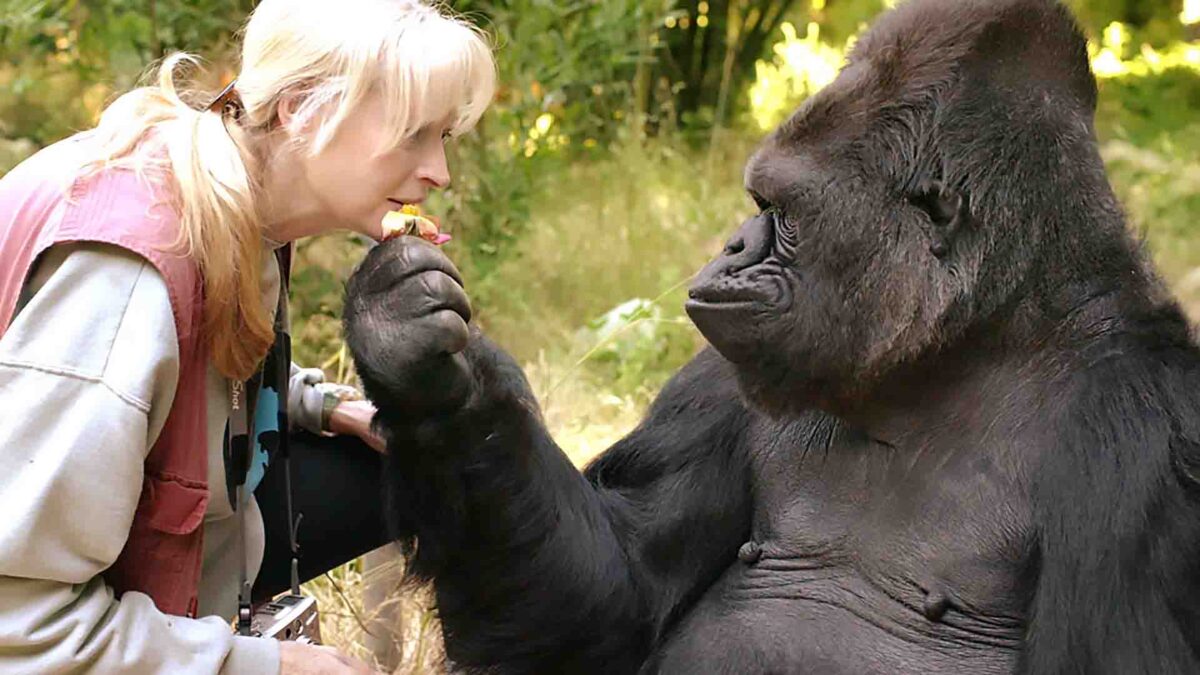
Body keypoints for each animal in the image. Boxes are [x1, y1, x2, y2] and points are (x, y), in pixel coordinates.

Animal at [340, 2, 1200, 667]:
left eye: (779, 212)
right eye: (759, 203)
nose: (731, 246)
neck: (965, 344)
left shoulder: (1151, 438)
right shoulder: (723, 373)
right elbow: (609, 600)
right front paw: (422, 367)